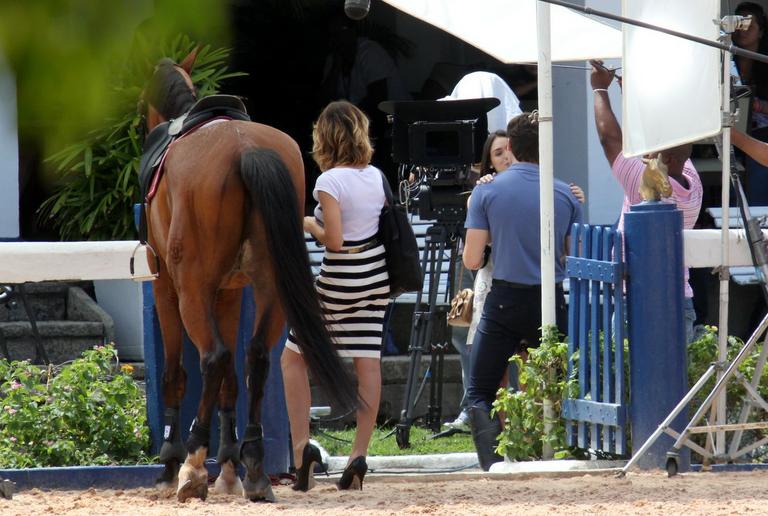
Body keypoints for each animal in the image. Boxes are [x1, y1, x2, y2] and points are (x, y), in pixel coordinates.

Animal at [140, 50, 356, 502]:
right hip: (271, 290)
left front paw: (172, 463)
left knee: (213, 358)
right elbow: (232, 382)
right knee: (254, 357)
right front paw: (229, 466)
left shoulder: (167, 286)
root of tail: (245, 148)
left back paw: (192, 463)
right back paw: (254, 467)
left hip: (191, 290)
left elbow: (176, 373)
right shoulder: (231, 292)